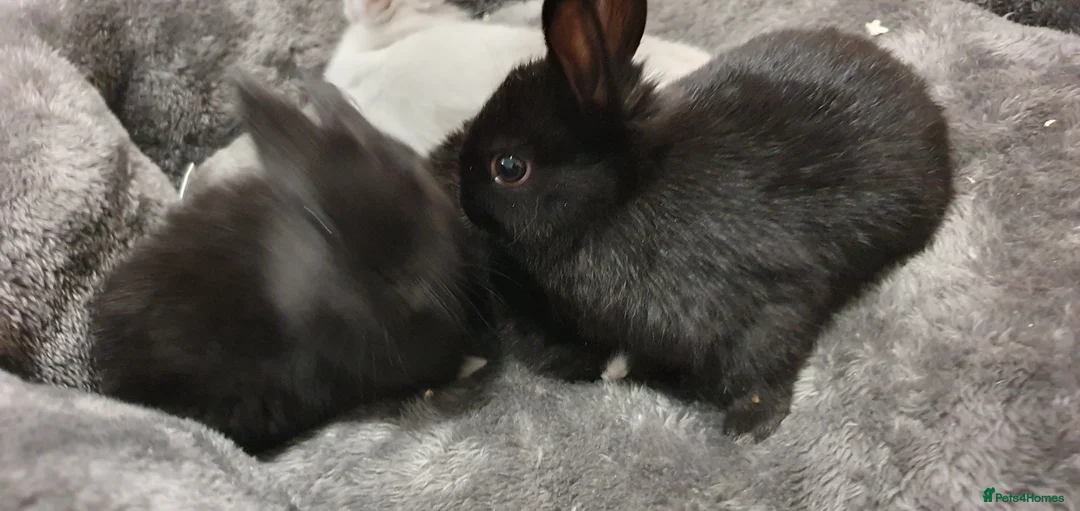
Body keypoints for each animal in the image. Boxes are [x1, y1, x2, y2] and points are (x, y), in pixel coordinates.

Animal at [442, 0, 955, 441]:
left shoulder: (769, 300)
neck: (624, 195)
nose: (463, 201)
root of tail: (925, 102)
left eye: (509, 167)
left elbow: (765, 358)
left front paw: (749, 426)